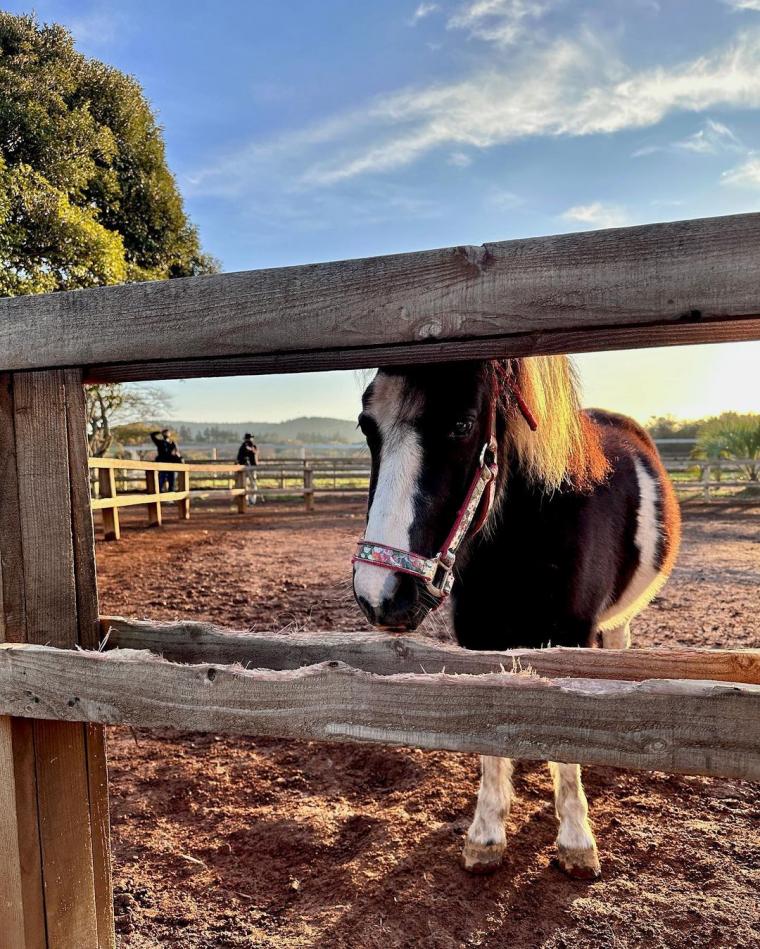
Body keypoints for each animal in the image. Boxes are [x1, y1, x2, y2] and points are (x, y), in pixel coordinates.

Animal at [354, 358, 680, 880]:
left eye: (462, 424)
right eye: (367, 426)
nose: (380, 594)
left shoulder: (571, 636)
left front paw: (576, 843)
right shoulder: (480, 635)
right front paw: (486, 836)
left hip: (615, 623)